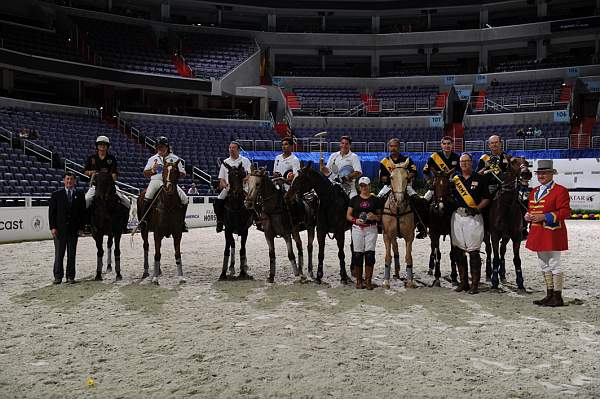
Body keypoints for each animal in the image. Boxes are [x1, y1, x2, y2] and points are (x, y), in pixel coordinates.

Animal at [384, 161, 418, 290]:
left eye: (407, 178)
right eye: (391, 177)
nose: (399, 199)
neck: (398, 210)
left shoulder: (410, 236)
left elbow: (409, 257)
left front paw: (410, 281)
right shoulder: (387, 235)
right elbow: (388, 256)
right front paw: (386, 281)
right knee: (395, 249)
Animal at [490, 156, 528, 290]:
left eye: (527, 163)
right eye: (512, 162)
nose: (526, 173)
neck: (507, 207)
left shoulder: (517, 236)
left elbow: (517, 259)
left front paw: (520, 281)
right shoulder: (495, 235)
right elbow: (495, 257)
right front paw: (494, 280)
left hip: (506, 236)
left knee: (503, 250)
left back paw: (502, 273)